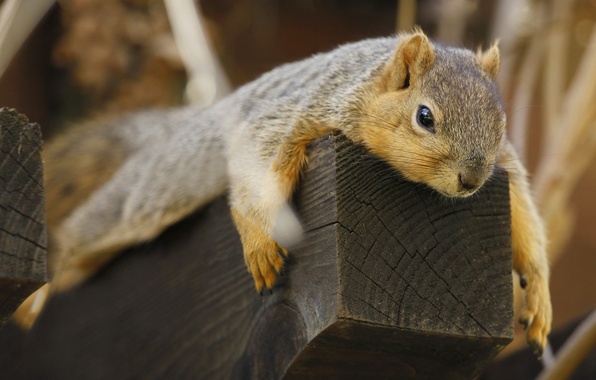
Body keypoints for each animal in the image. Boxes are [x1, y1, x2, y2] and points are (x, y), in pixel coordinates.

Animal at [11, 29, 552, 356]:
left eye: (501, 122)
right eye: (425, 116)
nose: (472, 179)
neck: (368, 87)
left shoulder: (507, 165)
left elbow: (526, 219)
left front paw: (539, 297)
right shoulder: (302, 114)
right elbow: (253, 177)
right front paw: (259, 245)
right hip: (148, 197)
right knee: (84, 235)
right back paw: (40, 295)